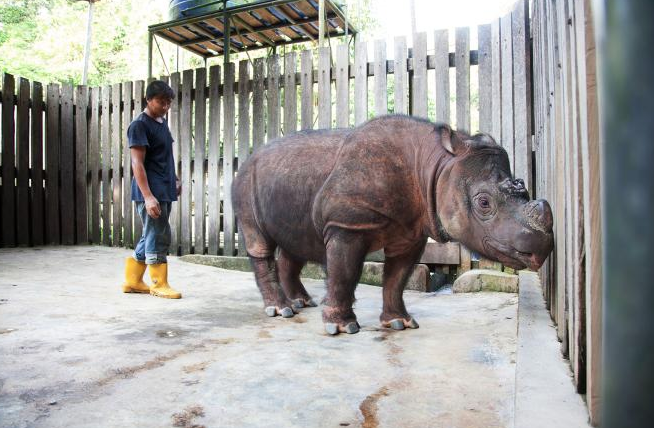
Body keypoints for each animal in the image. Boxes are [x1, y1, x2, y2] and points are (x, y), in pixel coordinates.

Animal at [233, 115, 556, 336]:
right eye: (484, 203)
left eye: (524, 186)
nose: (542, 249)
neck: (434, 165)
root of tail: (247, 157)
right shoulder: (347, 224)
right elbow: (344, 273)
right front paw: (342, 328)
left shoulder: (410, 232)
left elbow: (397, 278)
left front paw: (399, 323)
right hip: (246, 180)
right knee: (259, 241)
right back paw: (281, 310)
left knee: (295, 244)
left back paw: (302, 303)